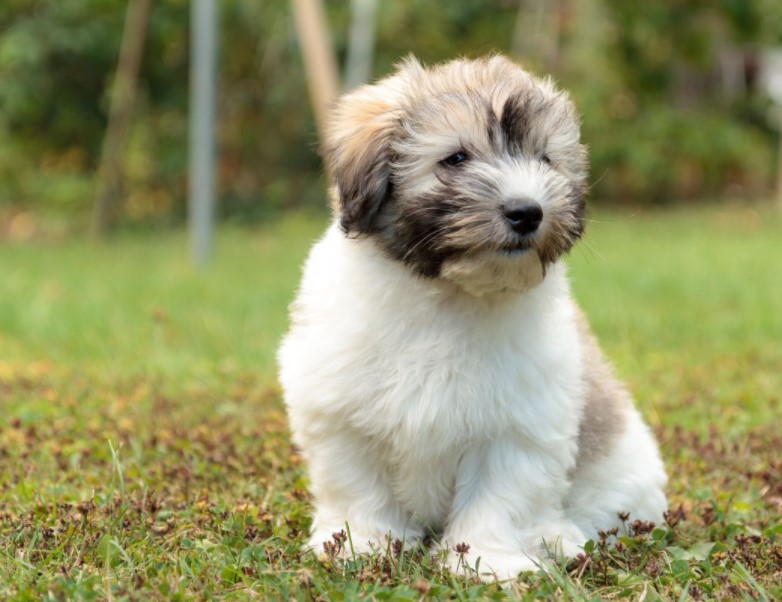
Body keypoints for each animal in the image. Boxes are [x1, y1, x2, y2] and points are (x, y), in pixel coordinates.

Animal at [278, 54, 672, 580]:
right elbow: (357, 486)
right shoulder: (340, 411)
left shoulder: (518, 426)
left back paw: (559, 537)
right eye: (456, 159)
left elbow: (499, 496)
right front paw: (359, 544)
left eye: (544, 160)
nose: (527, 211)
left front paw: (489, 562)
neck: (448, 295)